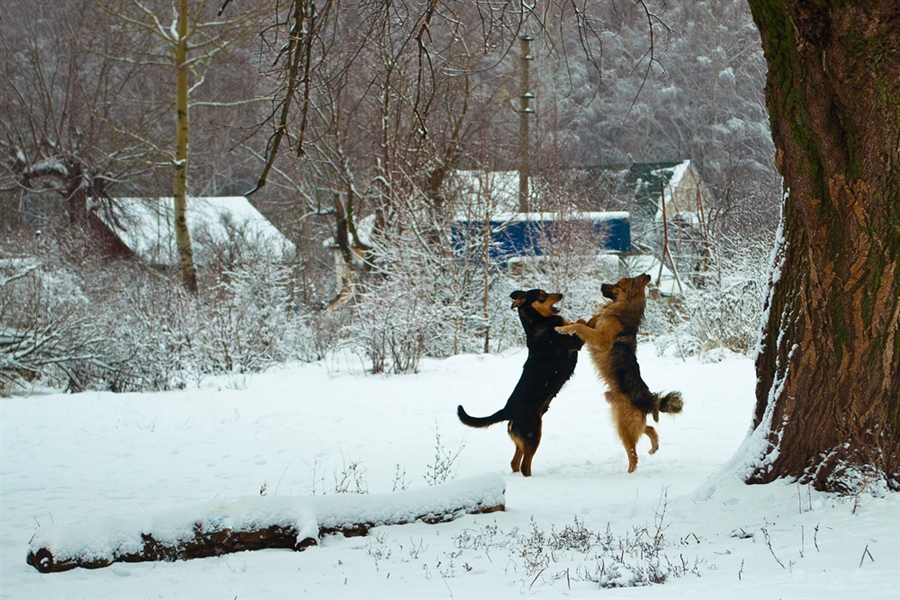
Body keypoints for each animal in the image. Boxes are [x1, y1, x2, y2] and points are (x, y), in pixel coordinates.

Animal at [458, 290, 584, 478]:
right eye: (542, 295)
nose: (561, 294)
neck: (539, 323)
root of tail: (507, 410)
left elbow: (573, 323)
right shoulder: (575, 343)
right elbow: (582, 323)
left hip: (522, 439)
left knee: (514, 462)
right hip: (533, 434)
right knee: (525, 465)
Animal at [556, 276, 684, 474]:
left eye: (616, 285)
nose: (601, 284)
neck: (622, 309)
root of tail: (649, 398)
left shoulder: (601, 338)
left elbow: (580, 326)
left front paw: (563, 328)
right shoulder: (594, 327)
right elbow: (583, 322)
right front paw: (568, 323)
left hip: (623, 424)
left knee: (634, 454)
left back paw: (630, 473)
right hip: (623, 420)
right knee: (648, 428)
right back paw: (654, 446)